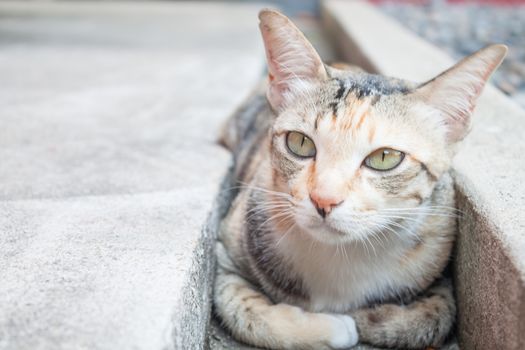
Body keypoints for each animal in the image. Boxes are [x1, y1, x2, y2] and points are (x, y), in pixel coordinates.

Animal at [213, 8, 504, 350]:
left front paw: (367, 317)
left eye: (385, 157)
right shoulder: (226, 252)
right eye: (300, 143)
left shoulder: (440, 261)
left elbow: (434, 318)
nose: (323, 200)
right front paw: (334, 327)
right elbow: (242, 310)